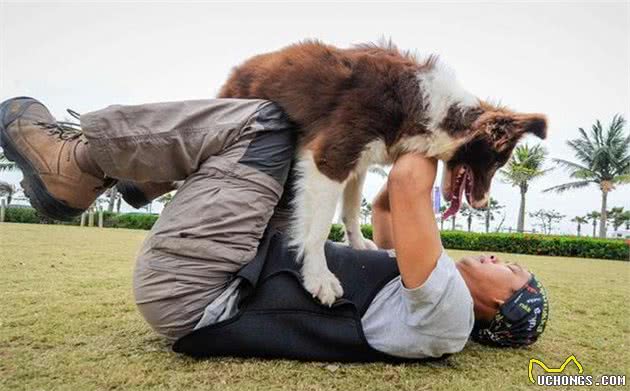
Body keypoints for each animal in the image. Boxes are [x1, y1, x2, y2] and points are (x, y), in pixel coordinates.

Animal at [218, 41, 548, 304]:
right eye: (494, 164)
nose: (482, 204)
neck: (434, 110)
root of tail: (237, 70)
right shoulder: (330, 157)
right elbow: (319, 228)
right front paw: (319, 276)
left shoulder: (359, 163)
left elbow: (350, 211)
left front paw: (358, 246)